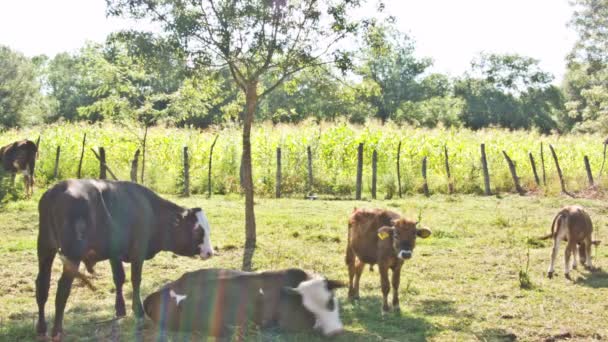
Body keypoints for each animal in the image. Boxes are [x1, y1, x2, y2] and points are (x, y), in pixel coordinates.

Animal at [35, 180, 215, 340]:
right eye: (198, 230)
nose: (210, 252)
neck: (151, 211)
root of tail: (58, 189)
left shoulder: (115, 253)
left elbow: (119, 279)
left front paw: (120, 309)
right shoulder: (138, 252)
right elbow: (135, 280)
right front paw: (138, 311)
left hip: (45, 249)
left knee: (42, 286)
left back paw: (41, 328)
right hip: (72, 255)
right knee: (62, 290)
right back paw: (57, 331)